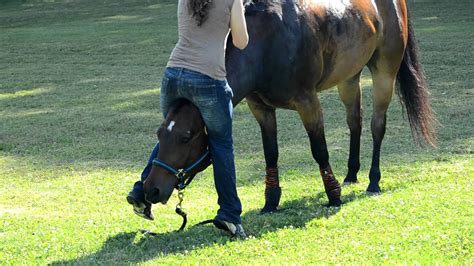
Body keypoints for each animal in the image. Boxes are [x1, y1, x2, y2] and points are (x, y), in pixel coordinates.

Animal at [143, 0, 436, 212]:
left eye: (185, 137)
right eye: (159, 134)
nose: (150, 189)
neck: (266, 43)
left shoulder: (309, 104)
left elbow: (320, 151)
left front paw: (333, 195)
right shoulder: (261, 109)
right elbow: (271, 153)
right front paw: (271, 199)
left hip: (385, 72)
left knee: (377, 125)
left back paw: (373, 180)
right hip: (349, 78)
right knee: (355, 122)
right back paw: (352, 173)